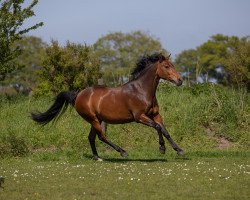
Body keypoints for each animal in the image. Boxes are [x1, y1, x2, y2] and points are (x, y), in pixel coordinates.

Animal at [31, 53, 184, 161]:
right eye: (166, 66)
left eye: (172, 65)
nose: (180, 80)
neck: (141, 90)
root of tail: (78, 95)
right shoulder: (140, 117)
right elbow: (158, 127)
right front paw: (162, 148)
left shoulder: (156, 115)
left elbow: (165, 130)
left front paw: (179, 150)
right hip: (93, 119)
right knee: (102, 137)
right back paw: (122, 152)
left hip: (96, 120)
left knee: (91, 137)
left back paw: (97, 157)